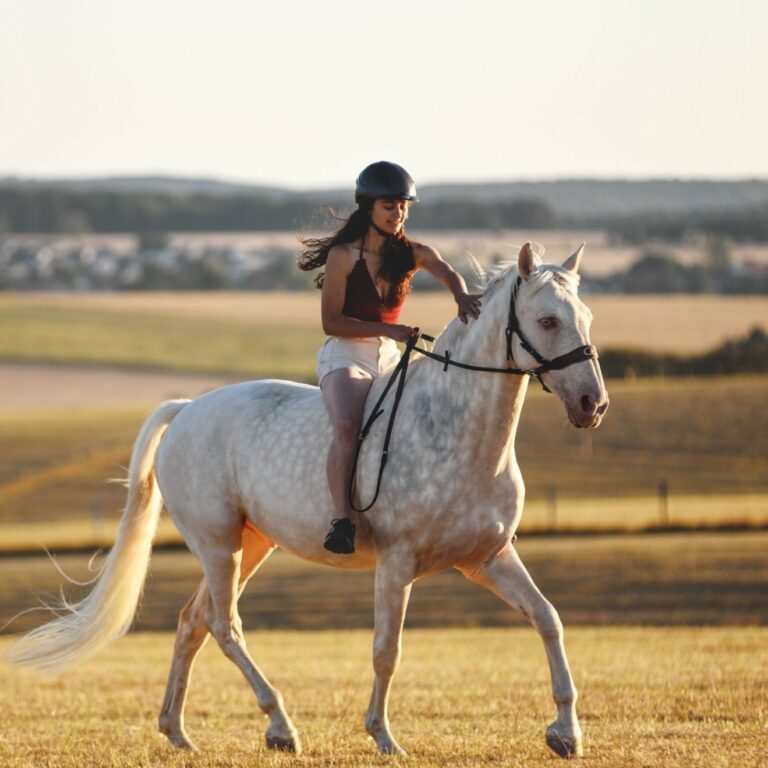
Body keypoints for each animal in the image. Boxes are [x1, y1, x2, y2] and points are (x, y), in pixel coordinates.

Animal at [9, 243, 608, 760]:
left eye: (586, 317)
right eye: (548, 321)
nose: (592, 404)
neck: (461, 433)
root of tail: (187, 409)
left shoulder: (487, 559)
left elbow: (548, 619)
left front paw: (565, 733)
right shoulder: (397, 565)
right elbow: (386, 651)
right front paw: (383, 736)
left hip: (252, 545)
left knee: (192, 621)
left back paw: (176, 730)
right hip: (218, 544)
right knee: (225, 624)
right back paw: (279, 726)